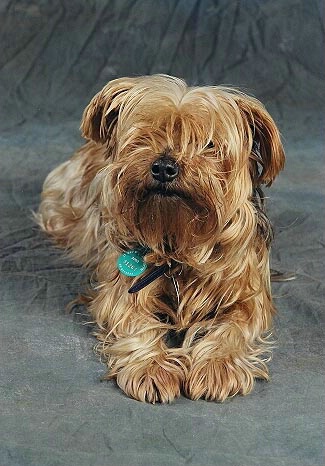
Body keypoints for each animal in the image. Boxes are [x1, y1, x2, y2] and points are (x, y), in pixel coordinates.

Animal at [36, 74, 284, 402]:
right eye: (145, 137)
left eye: (208, 145)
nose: (164, 166)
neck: (178, 244)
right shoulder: (123, 291)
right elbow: (135, 322)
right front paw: (152, 367)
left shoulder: (248, 296)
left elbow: (235, 327)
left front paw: (218, 364)